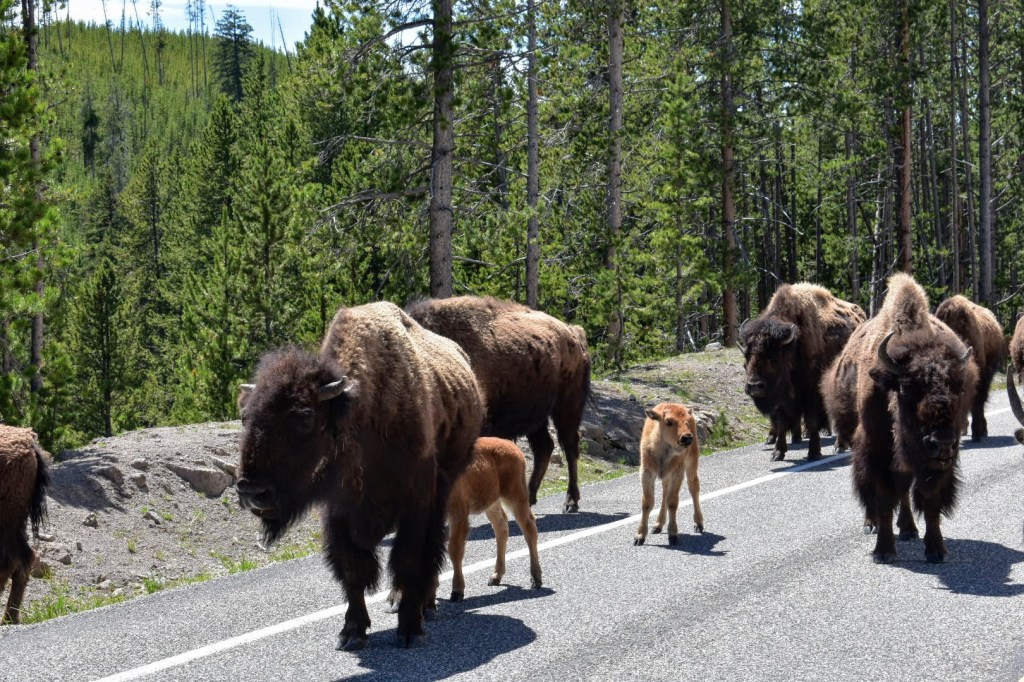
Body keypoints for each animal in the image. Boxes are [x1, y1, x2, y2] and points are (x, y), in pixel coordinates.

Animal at [235, 302, 484, 650]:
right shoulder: (339, 513)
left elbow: (409, 560)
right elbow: (353, 569)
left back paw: (426, 605)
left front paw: (410, 629)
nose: (252, 491)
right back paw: (396, 600)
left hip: (445, 487)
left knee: (431, 551)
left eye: (304, 417)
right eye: (245, 417)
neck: (357, 416)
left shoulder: (416, 505)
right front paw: (352, 632)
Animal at [406, 296, 591, 513]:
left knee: (569, 446)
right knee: (545, 446)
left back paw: (570, 502)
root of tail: (573, 333)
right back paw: (529, 497)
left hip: (567, 406)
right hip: (537, 416)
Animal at [633, 403, 703, 546]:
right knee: (665, 492)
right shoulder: (646, 473)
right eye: (669, 422)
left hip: (692, 463)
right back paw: (657, 525)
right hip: (667, 475)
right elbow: (647, 502)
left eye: (687, 422)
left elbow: (672, 502)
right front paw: (639, 537)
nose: (687, 437)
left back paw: (698, 524)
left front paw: (673, 536)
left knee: (693, 488)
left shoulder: (677, 473)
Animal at [739, 283, 866, 462]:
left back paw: (839, 446)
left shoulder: (812, 393)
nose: (754, 386)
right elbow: (782, 422)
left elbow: (812, 420)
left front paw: (813, 453)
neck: (792, 347)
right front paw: (777, 453)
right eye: (747, 354)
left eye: (773, 355)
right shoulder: (781, 400)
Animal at [840, 273, 977, 563]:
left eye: (958, 388)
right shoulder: (877, 452)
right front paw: (883, 551)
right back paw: (871, 524)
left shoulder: (937, 465)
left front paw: (936, 550)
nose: (942, 443)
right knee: (868, 486)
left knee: (903, 492)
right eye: (905, 388)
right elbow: (882, 498)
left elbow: (930, 501)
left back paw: (908, 529)